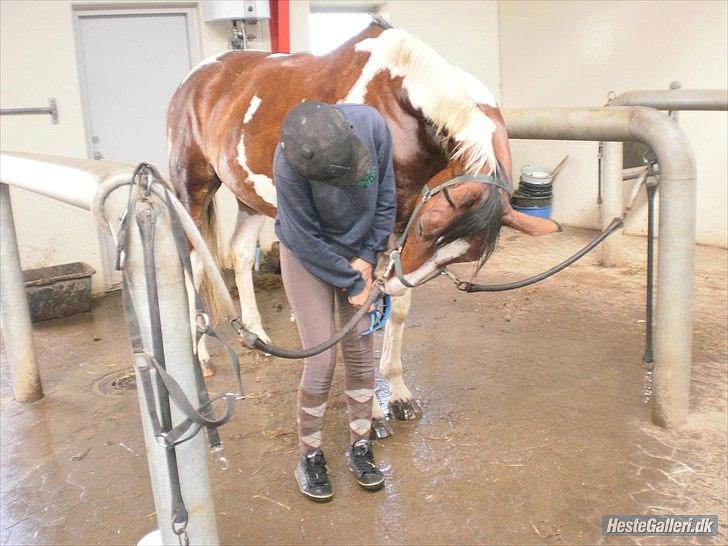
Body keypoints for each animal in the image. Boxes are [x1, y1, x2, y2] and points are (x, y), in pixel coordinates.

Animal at [169, 17, 556, 424]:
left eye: (459, 258)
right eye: (427, 228)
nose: (394, 285)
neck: (398, 105)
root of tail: (198, 77)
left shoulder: (399, 237)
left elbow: (395, 312)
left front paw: (397, 392)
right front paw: (369, 408)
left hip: (249, 196)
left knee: (241, 254)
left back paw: (255, 334)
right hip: (191, 190)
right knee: (192, 264)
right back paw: (200, 355)